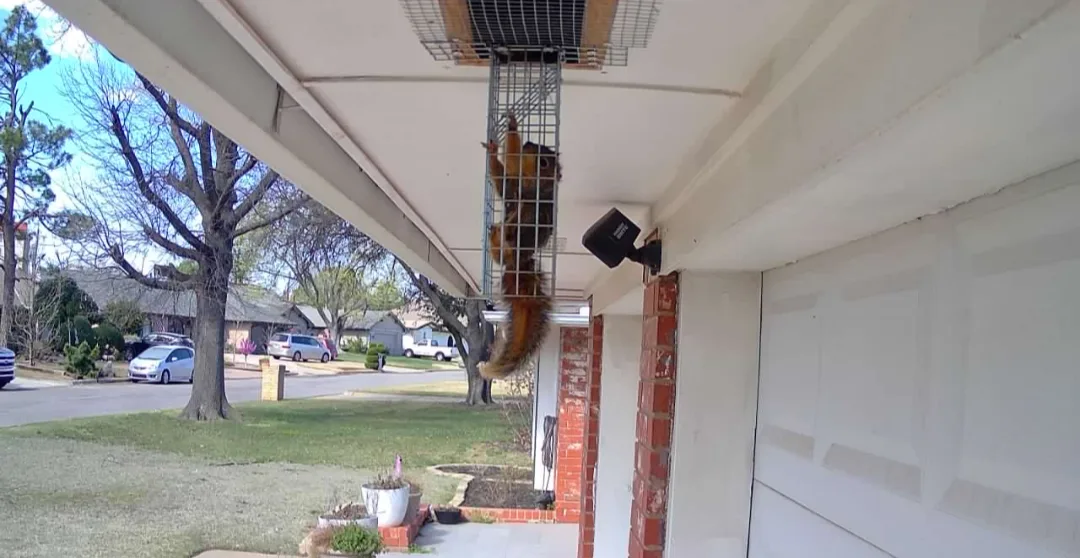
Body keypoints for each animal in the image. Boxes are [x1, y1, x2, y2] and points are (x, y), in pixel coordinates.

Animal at [479, 111, 560, 379]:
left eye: (544, 162)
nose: (529, 144)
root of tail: (518, 263)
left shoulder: (529, 197)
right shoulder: (513, 186)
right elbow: (505, 179)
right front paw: (506, 136)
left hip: (518, 239)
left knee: (512, 237)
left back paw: (503, 236)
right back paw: (495, 235)